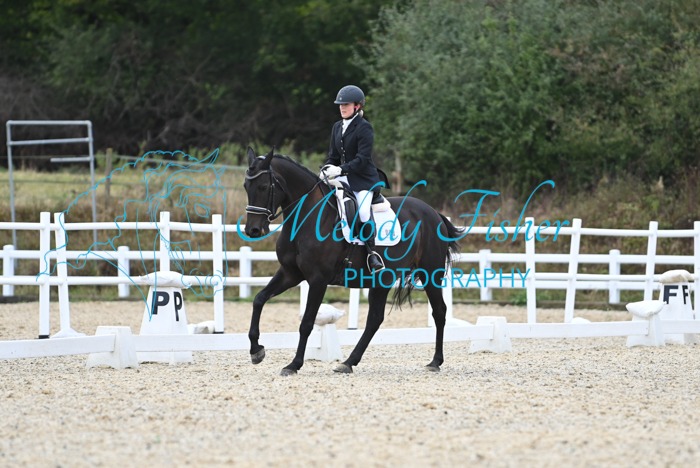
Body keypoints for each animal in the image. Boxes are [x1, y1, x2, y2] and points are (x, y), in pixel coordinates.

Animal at [241, 147, 464, 375]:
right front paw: (256, 351)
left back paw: (435, 361)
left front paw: (294, 364)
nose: (253, 230)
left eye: (264, 186)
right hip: (382, 280)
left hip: (430, 274)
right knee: (375, 319)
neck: (307, 217)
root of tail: (434, 213)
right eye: (246, 186)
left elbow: (307, 322)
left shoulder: (318, 280)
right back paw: (349, 362)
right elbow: (259, 299)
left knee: (439, 312)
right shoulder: (290, 273)